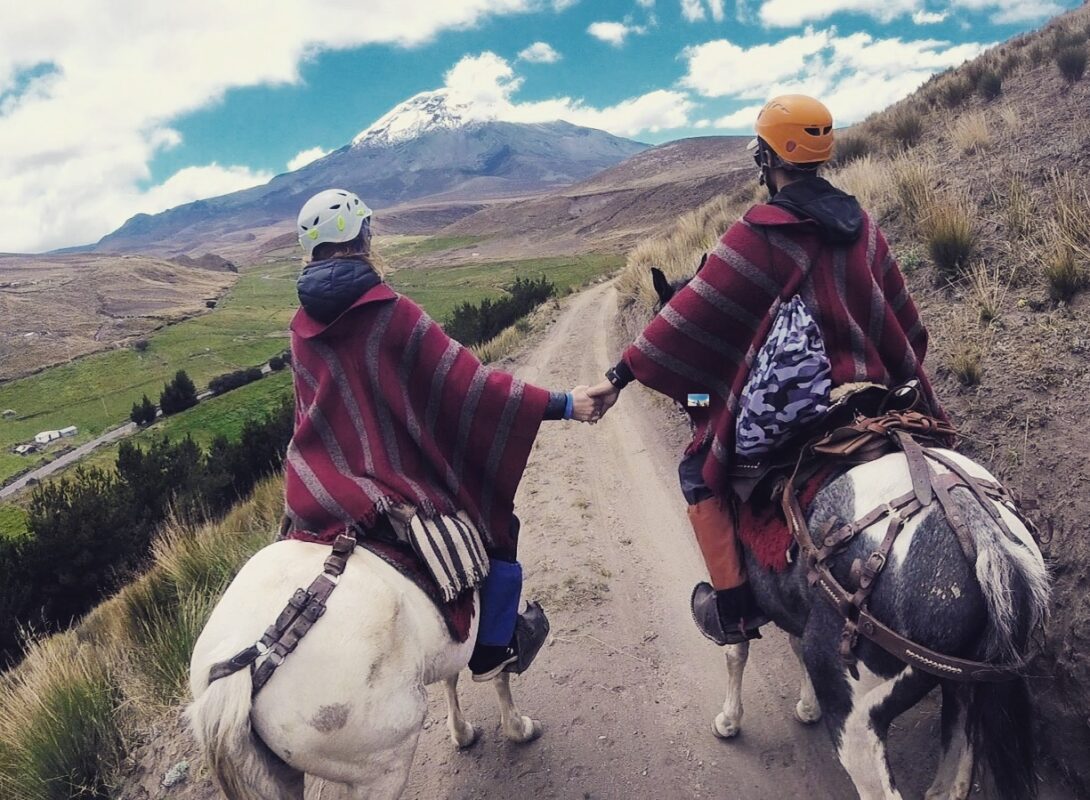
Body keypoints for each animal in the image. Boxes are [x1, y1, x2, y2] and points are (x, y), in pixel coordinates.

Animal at [649, 269, 1050, 800]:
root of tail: (982, 537)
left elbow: (737, 647)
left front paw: (730, 720)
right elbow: (791, 640)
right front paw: (805, 706)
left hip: (856, 708)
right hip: (966, 690)